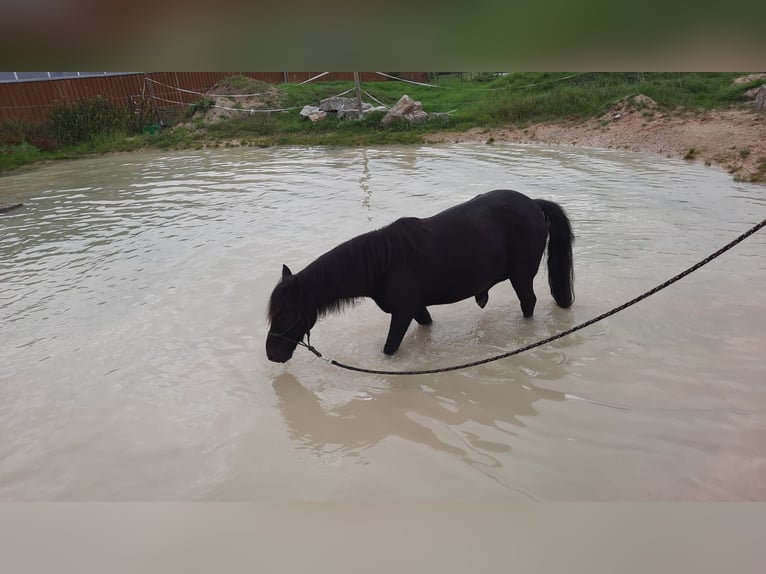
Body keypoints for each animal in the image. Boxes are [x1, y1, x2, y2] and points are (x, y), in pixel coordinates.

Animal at [266, 189, 574, 363]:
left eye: (285, 313)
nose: (272, 354)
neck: (382, 264)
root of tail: (533, 203)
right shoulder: (416, 309)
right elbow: (426, 326)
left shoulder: (402, 313)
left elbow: (390, 350)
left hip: (521, 277)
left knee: (528, 302)